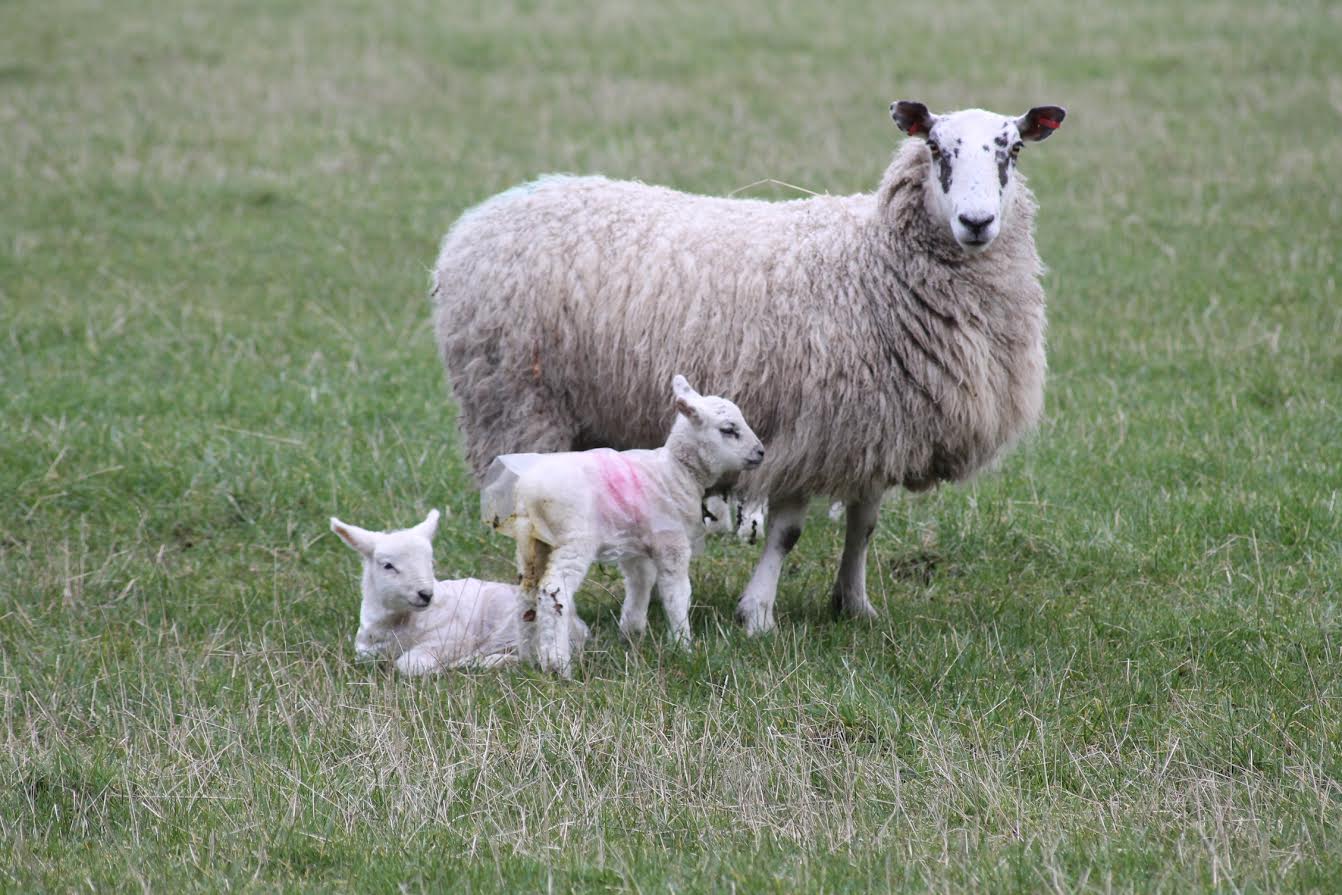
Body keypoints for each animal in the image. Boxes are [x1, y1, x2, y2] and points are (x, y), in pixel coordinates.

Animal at [330, 507, 587, 676]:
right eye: (388, 565)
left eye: (430, 561)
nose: (426, 594)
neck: (399, 626)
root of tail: (580, 624)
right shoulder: (365, 652)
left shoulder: (451, 636)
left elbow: (409, 665)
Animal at [434, 99, 1062, 636]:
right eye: (935, 147)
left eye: (1012, 149)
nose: (976, 221)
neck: (873, 261)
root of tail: (479, 220)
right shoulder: (808, 431)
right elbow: (787, 533)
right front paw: (757, 614)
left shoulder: (872, 429)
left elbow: (862, 526)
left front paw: (854, 605)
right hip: (517, 401)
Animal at [483, 375, 762, 676]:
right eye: (728, 430)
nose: (761, 452)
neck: (675, 471)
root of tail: (528, 490)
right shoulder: (671, 542)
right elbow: (677, 594)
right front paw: (683, 646)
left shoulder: (637, 546)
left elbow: (640, 582)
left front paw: (631, 634)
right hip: (573, 538)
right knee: (553, 592)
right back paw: (559, 664)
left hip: (532, 543)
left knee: (526, 594)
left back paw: (529, 658)